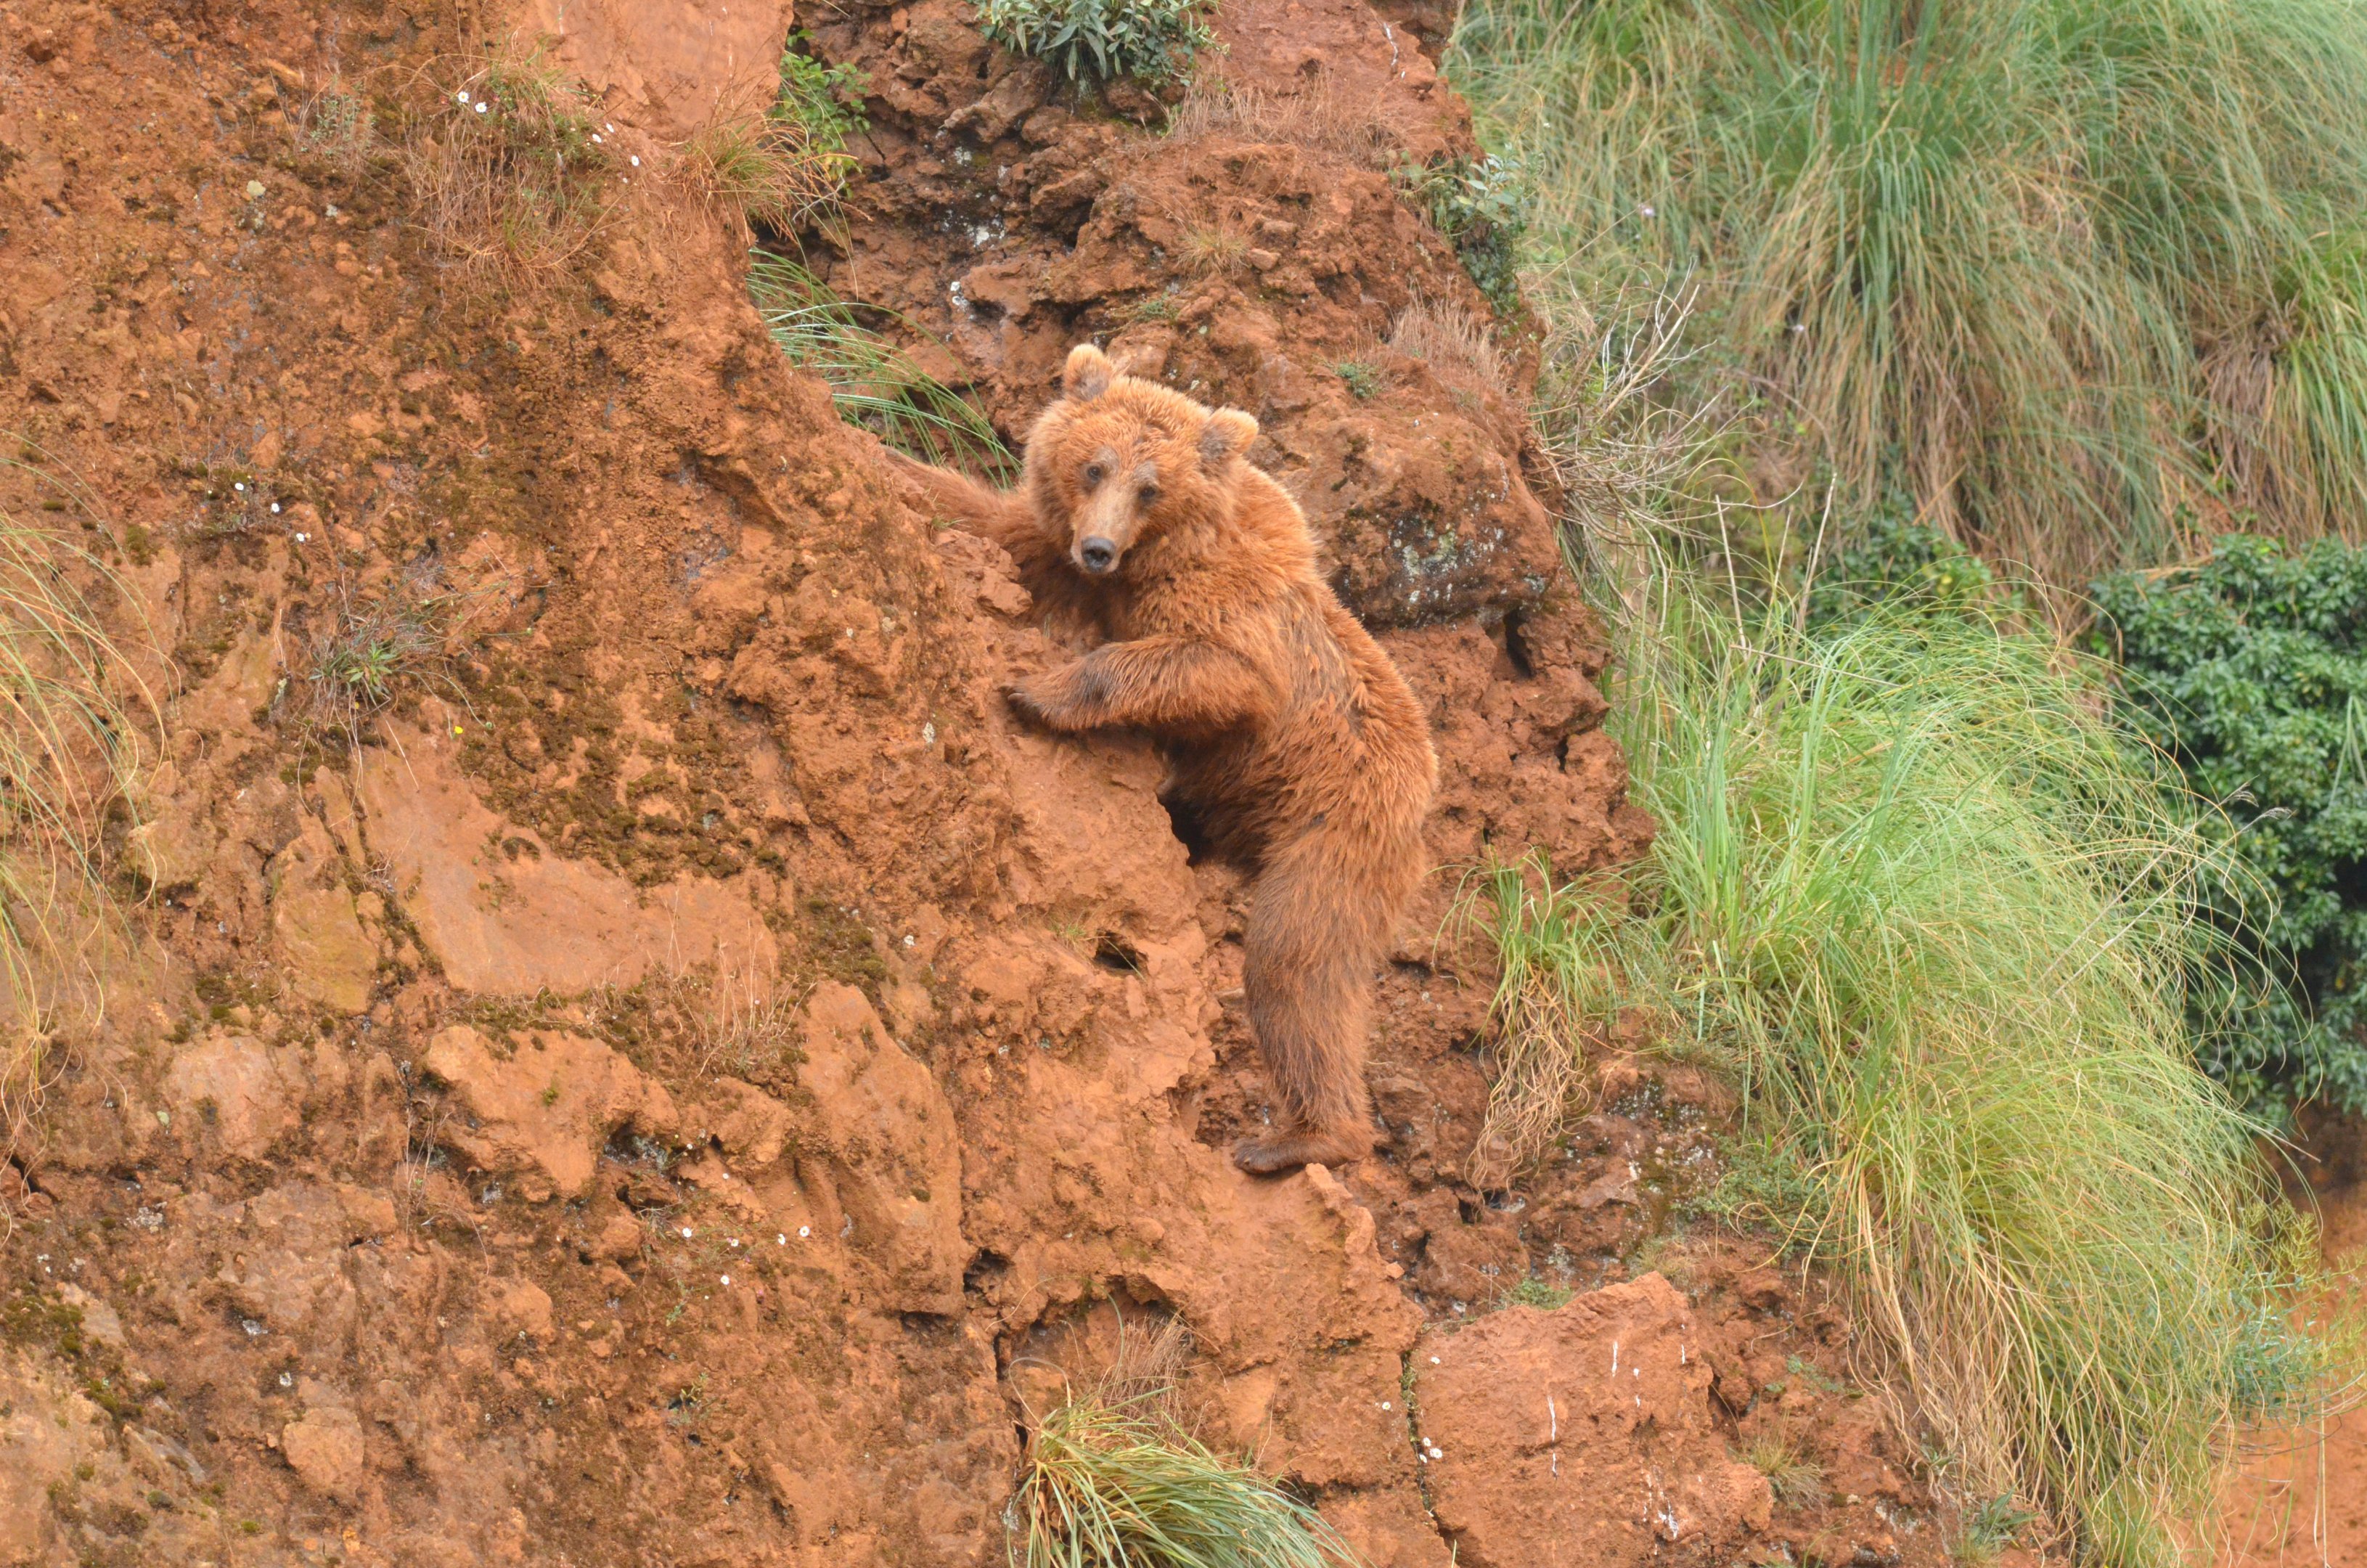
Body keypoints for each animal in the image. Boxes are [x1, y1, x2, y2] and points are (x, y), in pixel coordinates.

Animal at [890, 343, 1437, 1175]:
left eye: (1151, 486)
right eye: (1094, 466)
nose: (1098, 547)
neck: (1153, 560)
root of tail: (1425, 789)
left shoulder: (1234, 625)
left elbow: (1204, 670)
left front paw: (1033, 691)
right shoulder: (1057, 555)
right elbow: (988, 520)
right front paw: (871, 446)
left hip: (1334, 832)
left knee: (1295, 968)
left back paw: (1298, 1140)